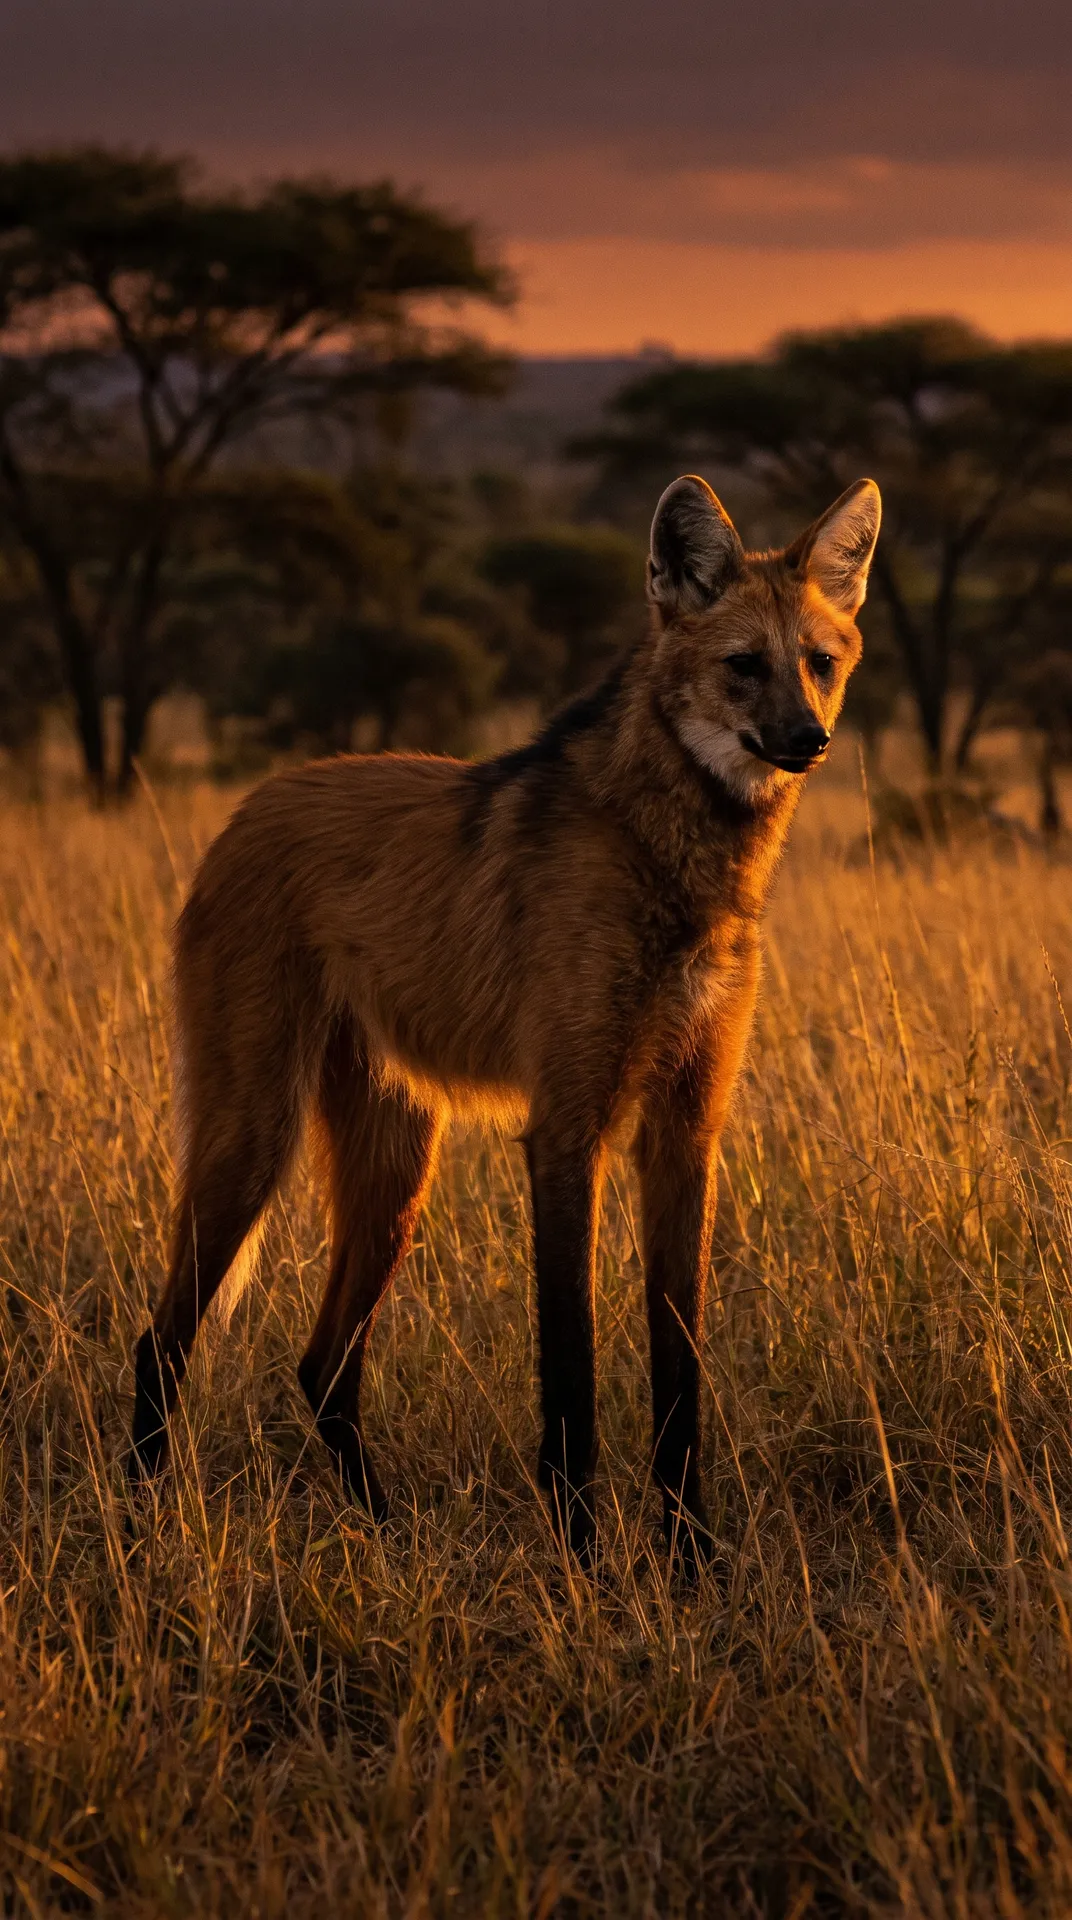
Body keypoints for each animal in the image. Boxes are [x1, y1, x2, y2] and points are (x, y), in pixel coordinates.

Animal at [129, 472, 880, 1571]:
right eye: (744, 667)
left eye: (819, 664)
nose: (808, 740)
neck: (678, 860)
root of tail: (248, 807)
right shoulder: (568, 1128)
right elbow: (571, 1369)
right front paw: (586, 1559)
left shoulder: (684, 1132)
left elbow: (679, 1367)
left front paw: (692, 1555)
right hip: (254, 1137)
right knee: (162, 1339)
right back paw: (139, 1529)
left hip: (398, 1170)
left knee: (322, 1363)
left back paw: (385, 1534)